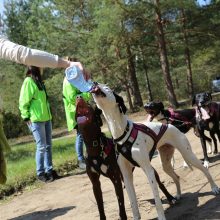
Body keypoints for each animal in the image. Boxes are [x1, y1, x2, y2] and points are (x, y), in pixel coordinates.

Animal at [92, 83, 219, 219]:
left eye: (107, 87)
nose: (94, 83)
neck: (122, 132)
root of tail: (171, 125)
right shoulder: (126, 176)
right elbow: (133, 204)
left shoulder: (148, 171)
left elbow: (157, 200)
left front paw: (161, 217)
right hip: (166, 164)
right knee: (176, 176)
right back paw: (178, 195)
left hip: (188, 154)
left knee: (204, 169)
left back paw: (214, 187)